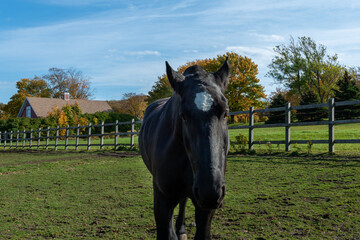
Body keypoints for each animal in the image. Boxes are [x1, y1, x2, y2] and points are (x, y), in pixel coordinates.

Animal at [139, 58, 229, 240]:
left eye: (225, 112)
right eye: (183, 116)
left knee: (182, 202)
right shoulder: (162, 199)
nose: (211, 191)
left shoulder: (205, 208)